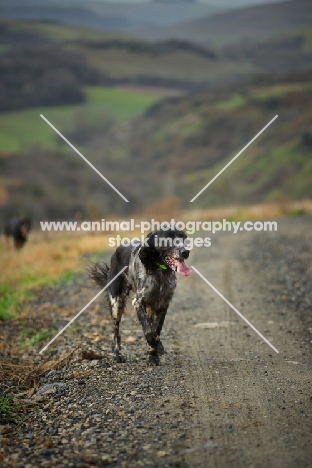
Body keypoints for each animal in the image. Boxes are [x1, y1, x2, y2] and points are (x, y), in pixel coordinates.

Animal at [88, 227, 190, 366]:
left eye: (183, 237)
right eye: (167, 238)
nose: (186, 252)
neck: (160, 273)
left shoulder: (163, 304)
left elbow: (156, 329)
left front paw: (153, 354)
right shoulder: (138, 302)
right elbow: (150, 332)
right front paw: (153, 351)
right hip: (116, 303)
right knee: (116, 331)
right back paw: (117, 354)